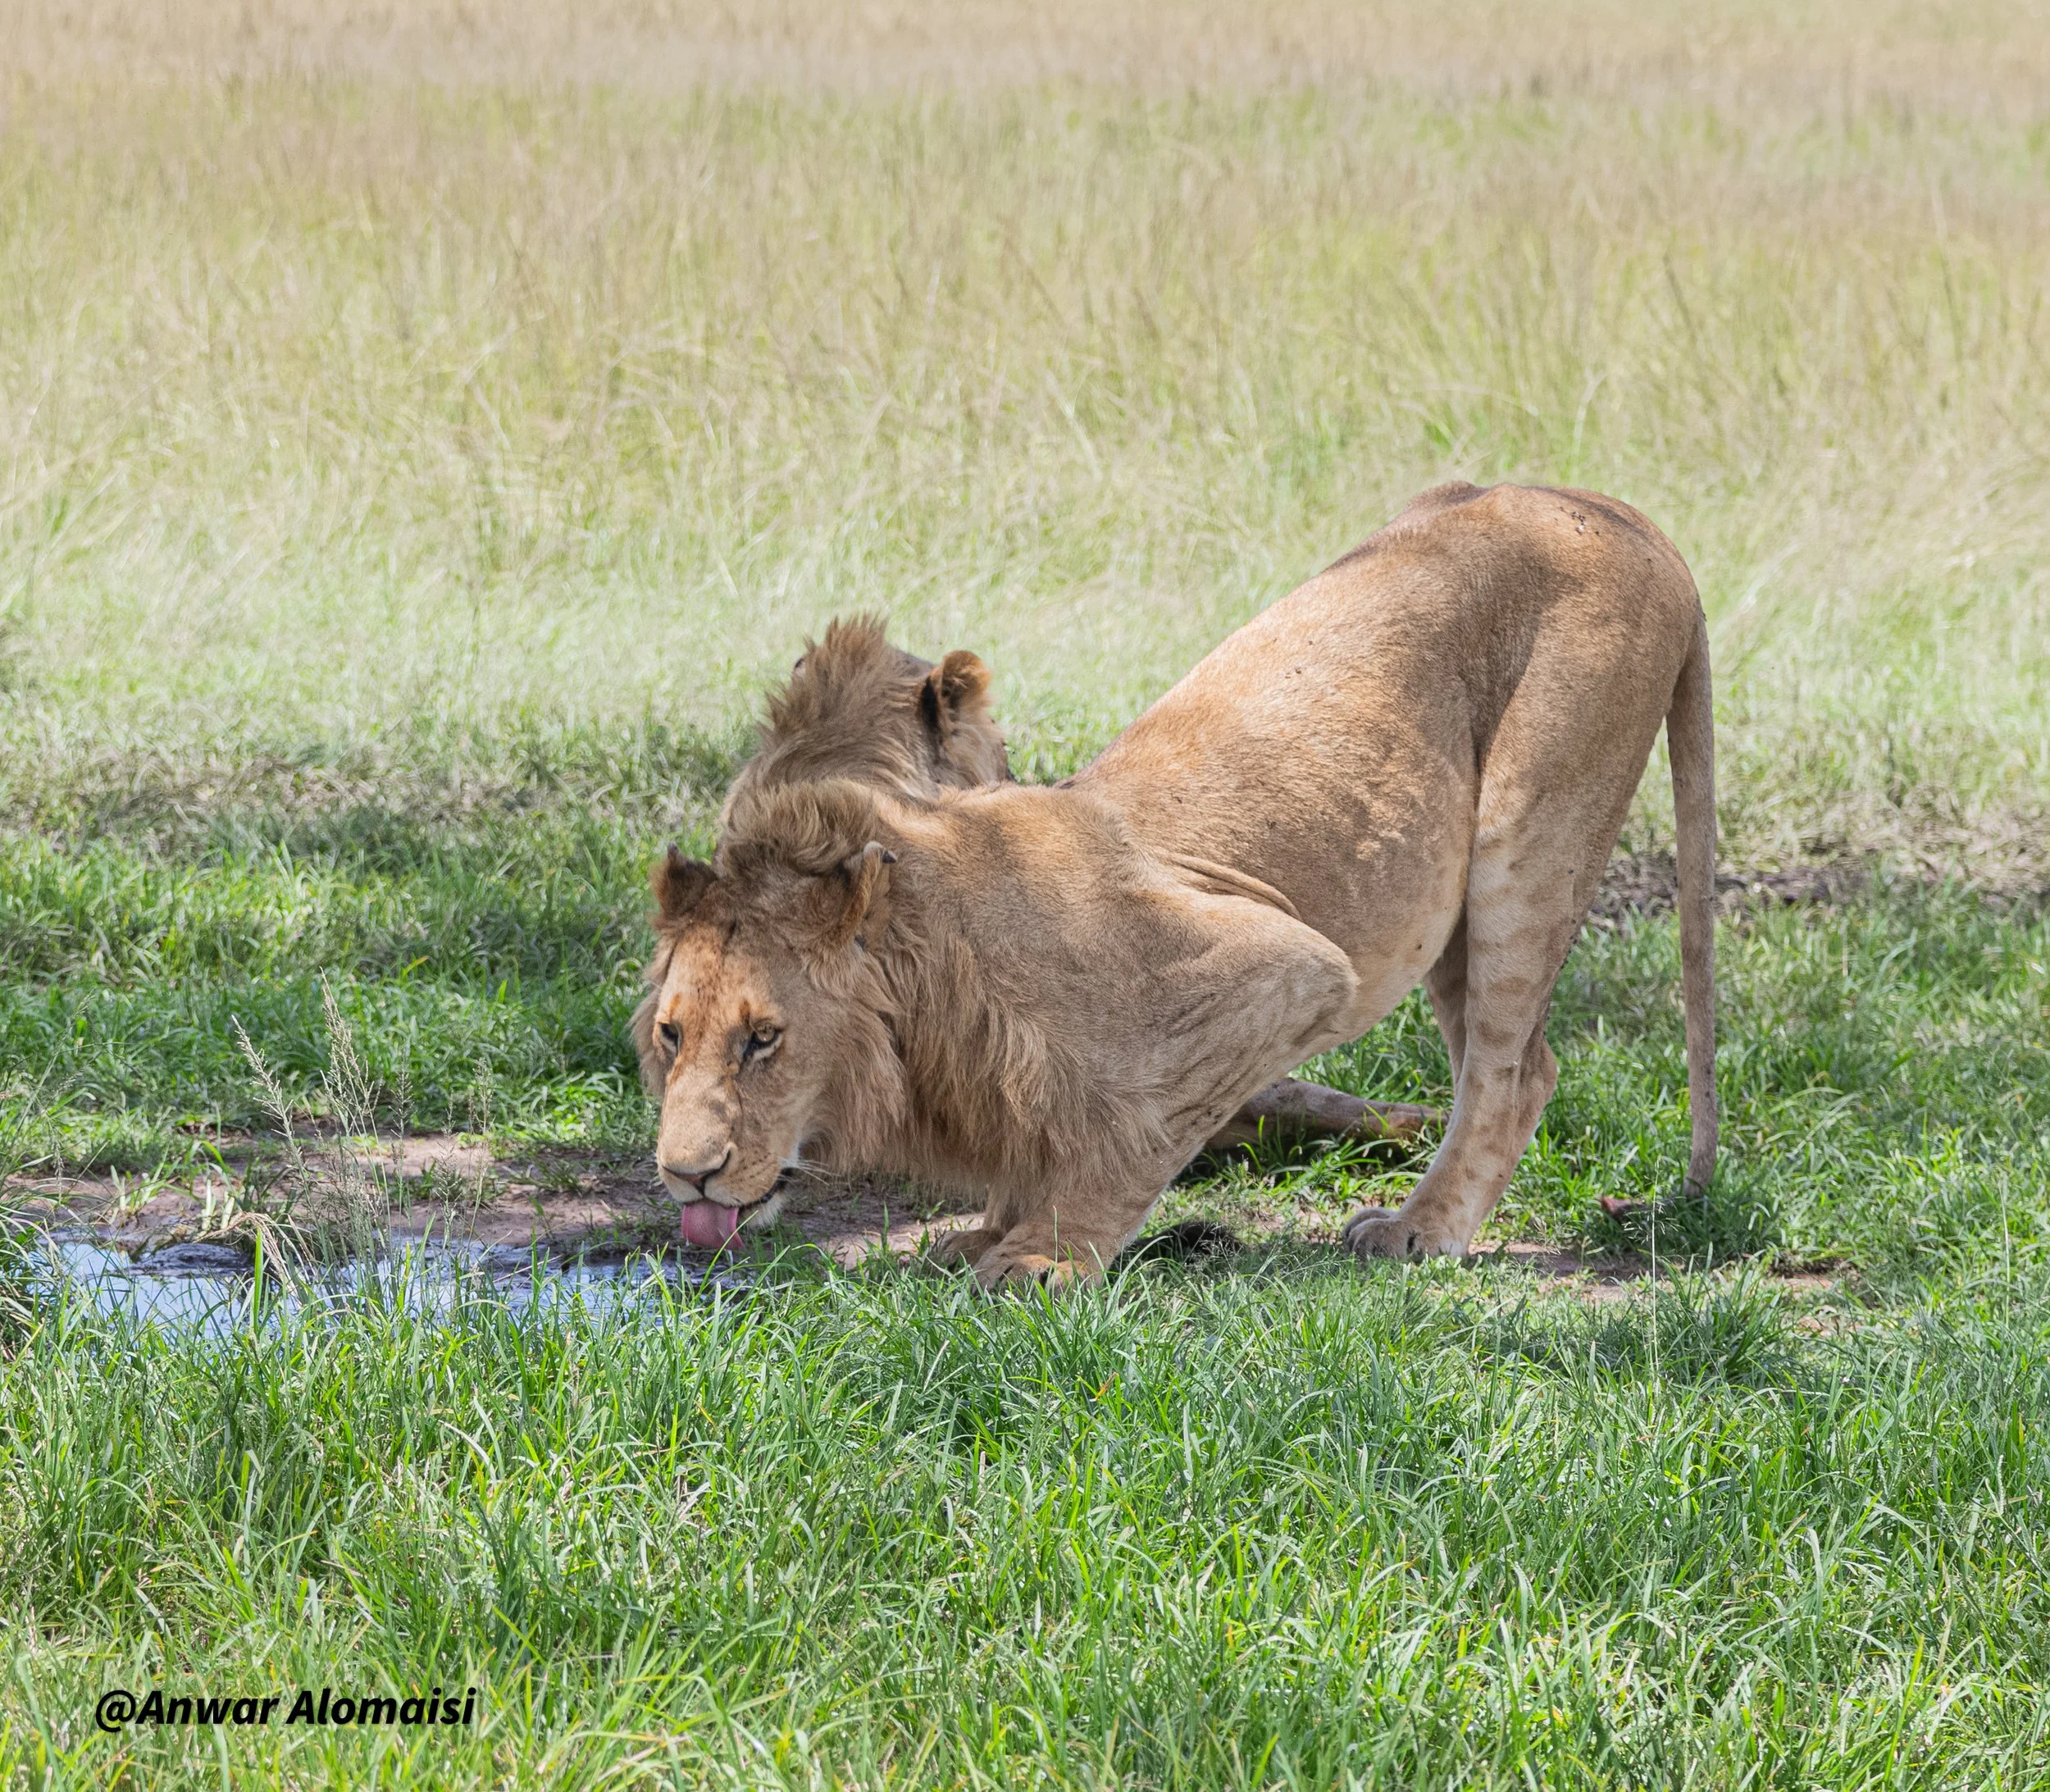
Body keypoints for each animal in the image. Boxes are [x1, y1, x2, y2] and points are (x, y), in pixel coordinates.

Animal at [637, 483, 1717, 1277]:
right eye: (672, 1035)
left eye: (765, 1038)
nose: (685, 1178)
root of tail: (1615, 506)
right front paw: (986, 1233)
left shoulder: (1284, 971)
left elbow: (1133, 1139)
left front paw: (1042, 1258)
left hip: (1526, 838)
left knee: (1510, 1071)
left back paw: (1422, 1229)